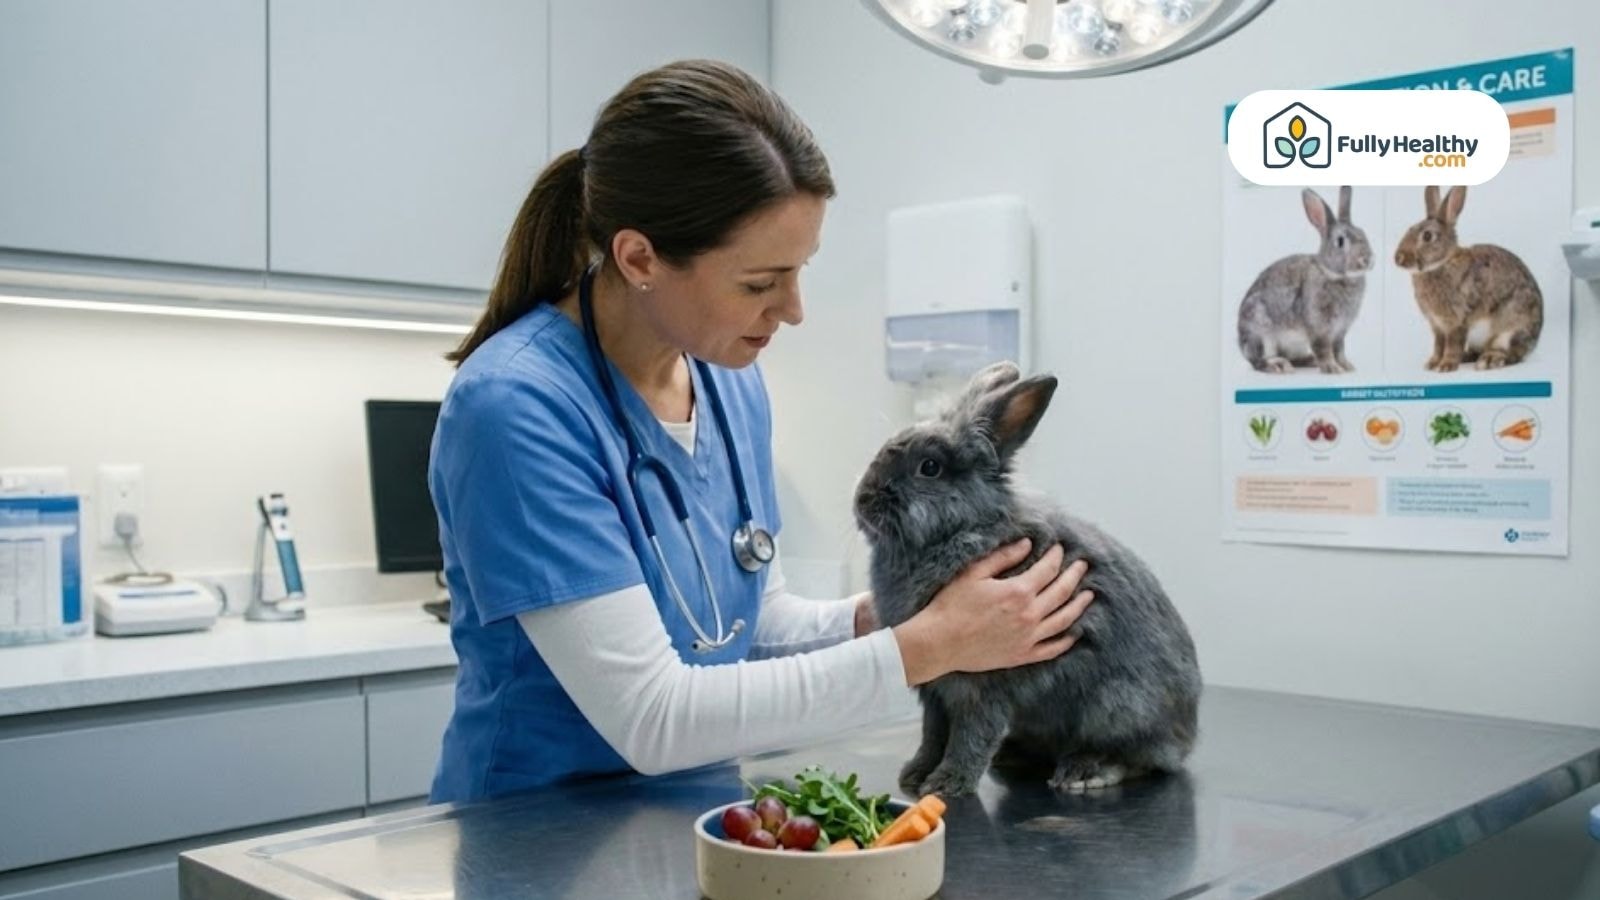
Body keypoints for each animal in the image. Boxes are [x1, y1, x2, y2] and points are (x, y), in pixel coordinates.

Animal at [853, 362, 1201, 798]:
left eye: (929, 467)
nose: (863, 500)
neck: (963, 529)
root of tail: (1187, 731)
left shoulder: (982, 687)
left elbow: (969, 735)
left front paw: (948, 784)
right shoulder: (935, 690)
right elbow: (932, 734)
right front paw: (915, 775)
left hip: (1117, 706)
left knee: (1141, 757)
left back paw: (1085, 771)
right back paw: (1013, 755)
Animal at [1237, 186, 1373, 374]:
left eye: (1363, 233)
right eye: (1340, 241)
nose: (1366, 260)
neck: (1334, 274)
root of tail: (1240, 342)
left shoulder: (1340, 332)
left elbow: (1339, 350)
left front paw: (1347, 366)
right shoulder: (1319, 329)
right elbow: (1324, 350)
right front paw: (1332, 368)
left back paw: (1309, 360)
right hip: (1260, 333)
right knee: (1258, 361)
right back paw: (1278, 365)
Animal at [1394, 186, 1543, 372]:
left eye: (1427, 236)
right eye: (1409, 229)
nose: (1398, 258)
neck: (1443, 263)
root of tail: (1535, 341)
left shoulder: (1457, 322)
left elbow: (1452, 345)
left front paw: (1446, 366)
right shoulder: (1437, 326)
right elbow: (1438, 345)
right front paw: (1432, 363)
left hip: (1511, 329)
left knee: (1513, 354)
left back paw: (1490, 360)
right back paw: (1467, 357)